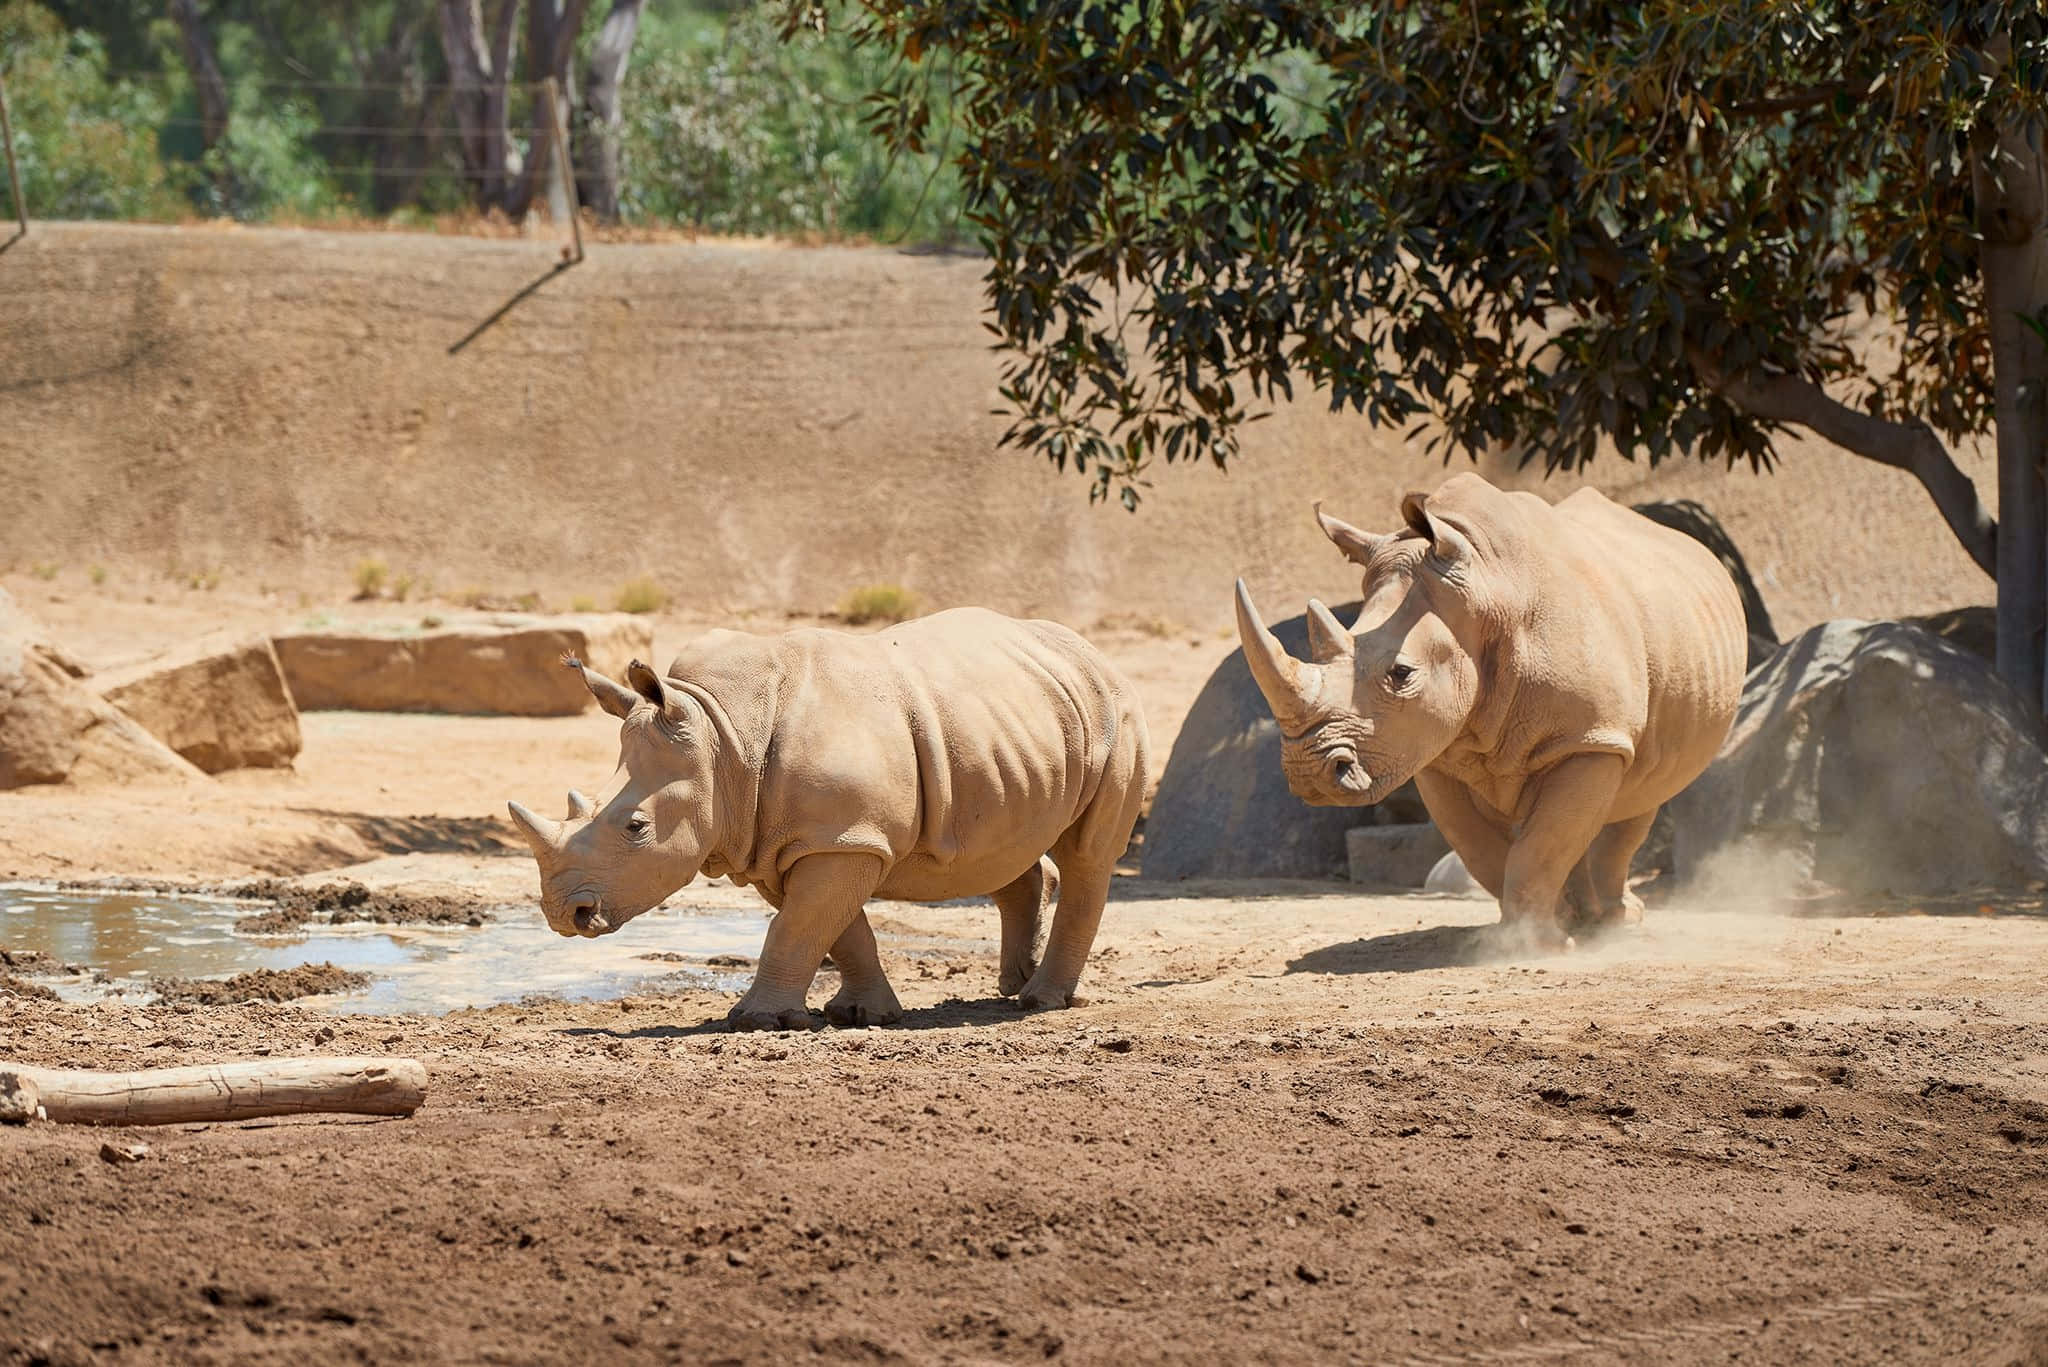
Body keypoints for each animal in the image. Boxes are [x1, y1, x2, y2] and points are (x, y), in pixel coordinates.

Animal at [506, 609, 1150, 1031]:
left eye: (636, 828)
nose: (565, 916)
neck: (722, 736)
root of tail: (1090, 651)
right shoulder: (787, 841)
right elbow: (835, 928)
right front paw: (861, 1014)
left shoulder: (840, 840)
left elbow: (799, 925)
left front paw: (757, 1022)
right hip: (1011, 727)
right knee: (1003, 848)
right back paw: (1013, 986)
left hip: (1115, 710)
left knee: (1088, 855)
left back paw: (1042, 1002)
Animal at [1235, 472, 1745, 944]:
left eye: (1400, 674)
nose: (1310, 775)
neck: (1486, 592)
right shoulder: (1430, 753)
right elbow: (1483, 847)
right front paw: (1537, 932)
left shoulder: (1588, 737)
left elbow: (1543, 844)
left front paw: (1537, 945)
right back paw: (1588, 918)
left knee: (1640, 793)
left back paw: (1617, 922)